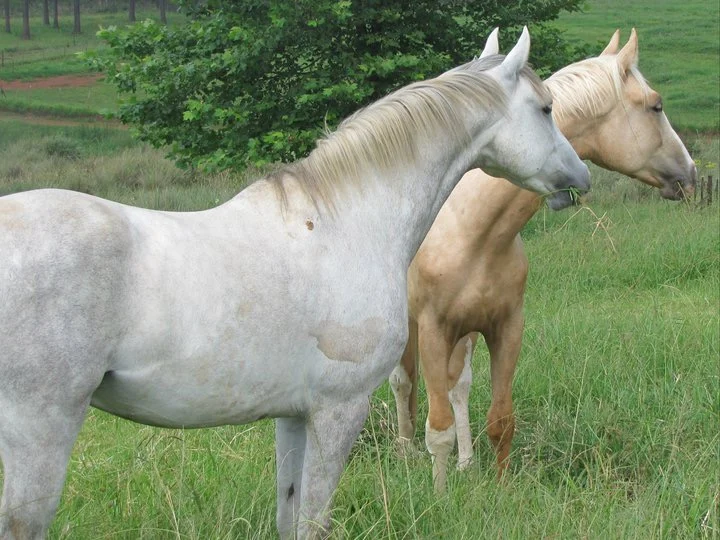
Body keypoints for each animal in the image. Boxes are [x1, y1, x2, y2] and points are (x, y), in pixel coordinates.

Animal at [0, 29, 590, 539]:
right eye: (545, 108)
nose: (580, 178)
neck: (343, 223)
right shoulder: (338, 409)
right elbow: (313, 520)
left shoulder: (292, 416)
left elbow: (289, 514)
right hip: (41, 431)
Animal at [388, 28, 697, 494]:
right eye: (655, 105)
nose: (690, 173)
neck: (473, 229)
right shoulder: (432, 330)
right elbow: (436, 426)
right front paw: (439, 496)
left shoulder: (505, 328)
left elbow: (500, 419)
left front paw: (496, 487)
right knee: (402, 382)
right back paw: (406, 453)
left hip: (465, 333)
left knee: (457, 386)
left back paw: (465, 462)